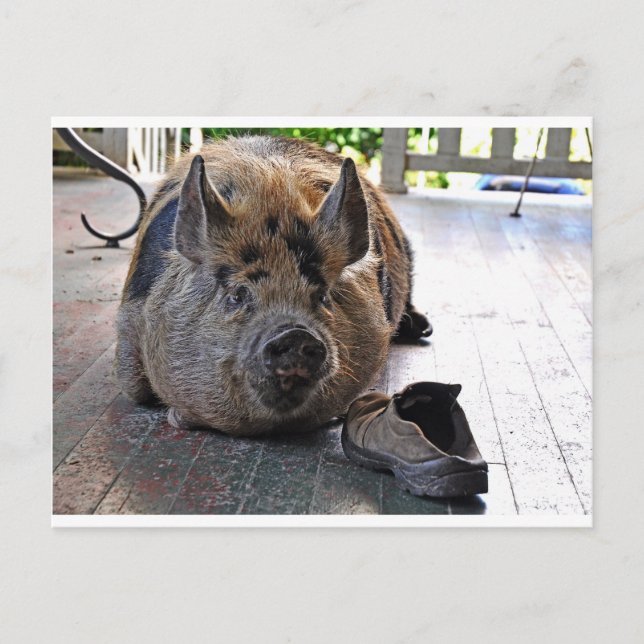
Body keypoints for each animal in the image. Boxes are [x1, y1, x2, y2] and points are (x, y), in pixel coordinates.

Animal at [115, 135, 431, 436]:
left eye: (323, 296)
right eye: (237, 295)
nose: (295, 333)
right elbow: (133, 387)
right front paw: (177, 417)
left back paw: (423, 329)